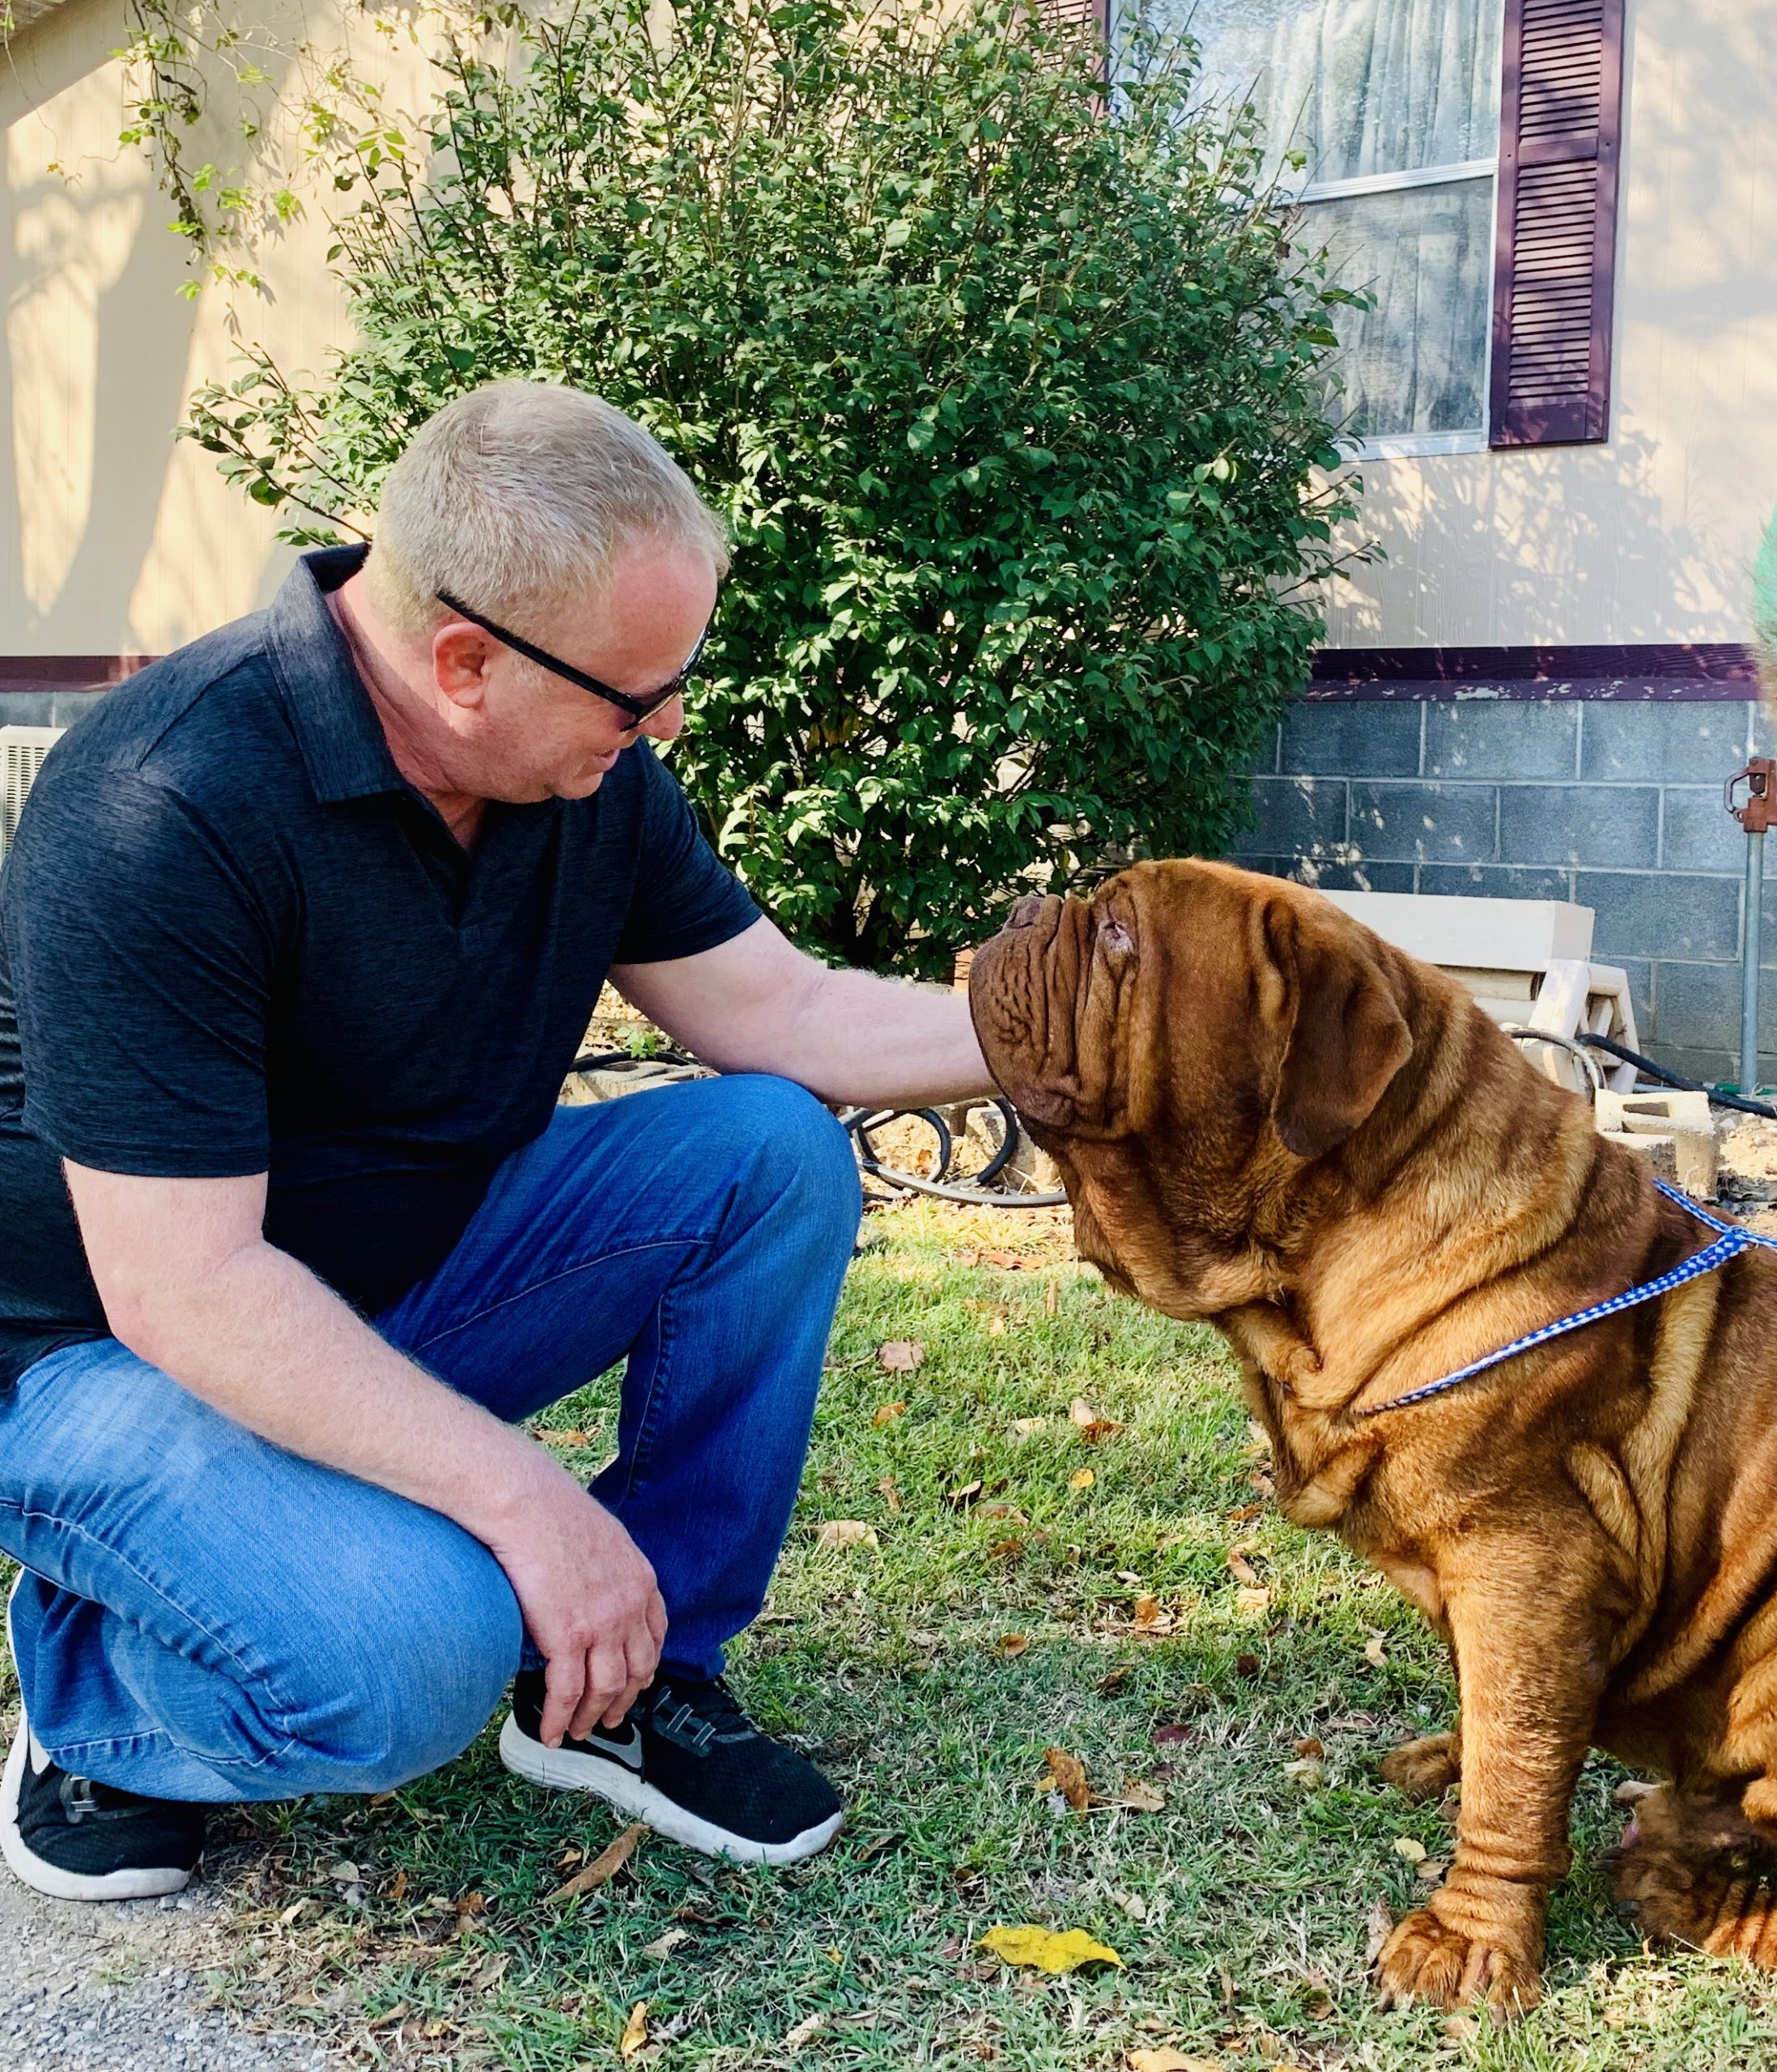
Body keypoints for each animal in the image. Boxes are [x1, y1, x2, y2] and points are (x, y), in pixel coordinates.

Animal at [970, 853, 1775, 2006]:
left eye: (1120, 934)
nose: (1022, 905)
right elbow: (1503, 1720)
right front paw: (1448, 1757)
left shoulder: (1530, 1559)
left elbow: (1515, 1763)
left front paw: (1465, 1939)